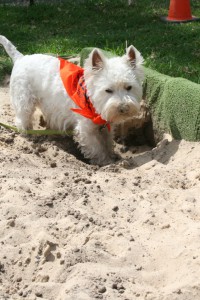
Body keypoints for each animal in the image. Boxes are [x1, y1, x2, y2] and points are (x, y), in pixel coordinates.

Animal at [0, 36, 144, 166]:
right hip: (24, 99)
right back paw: (28, 134)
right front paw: (105, 162)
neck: (92, 102)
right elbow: (96, 147)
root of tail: (21, 58)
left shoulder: (105, 126)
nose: (123, 108)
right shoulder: (86, 129)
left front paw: (112, 156)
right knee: (22, 118)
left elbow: (107, 142)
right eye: (108, 90)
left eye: (129, 87)